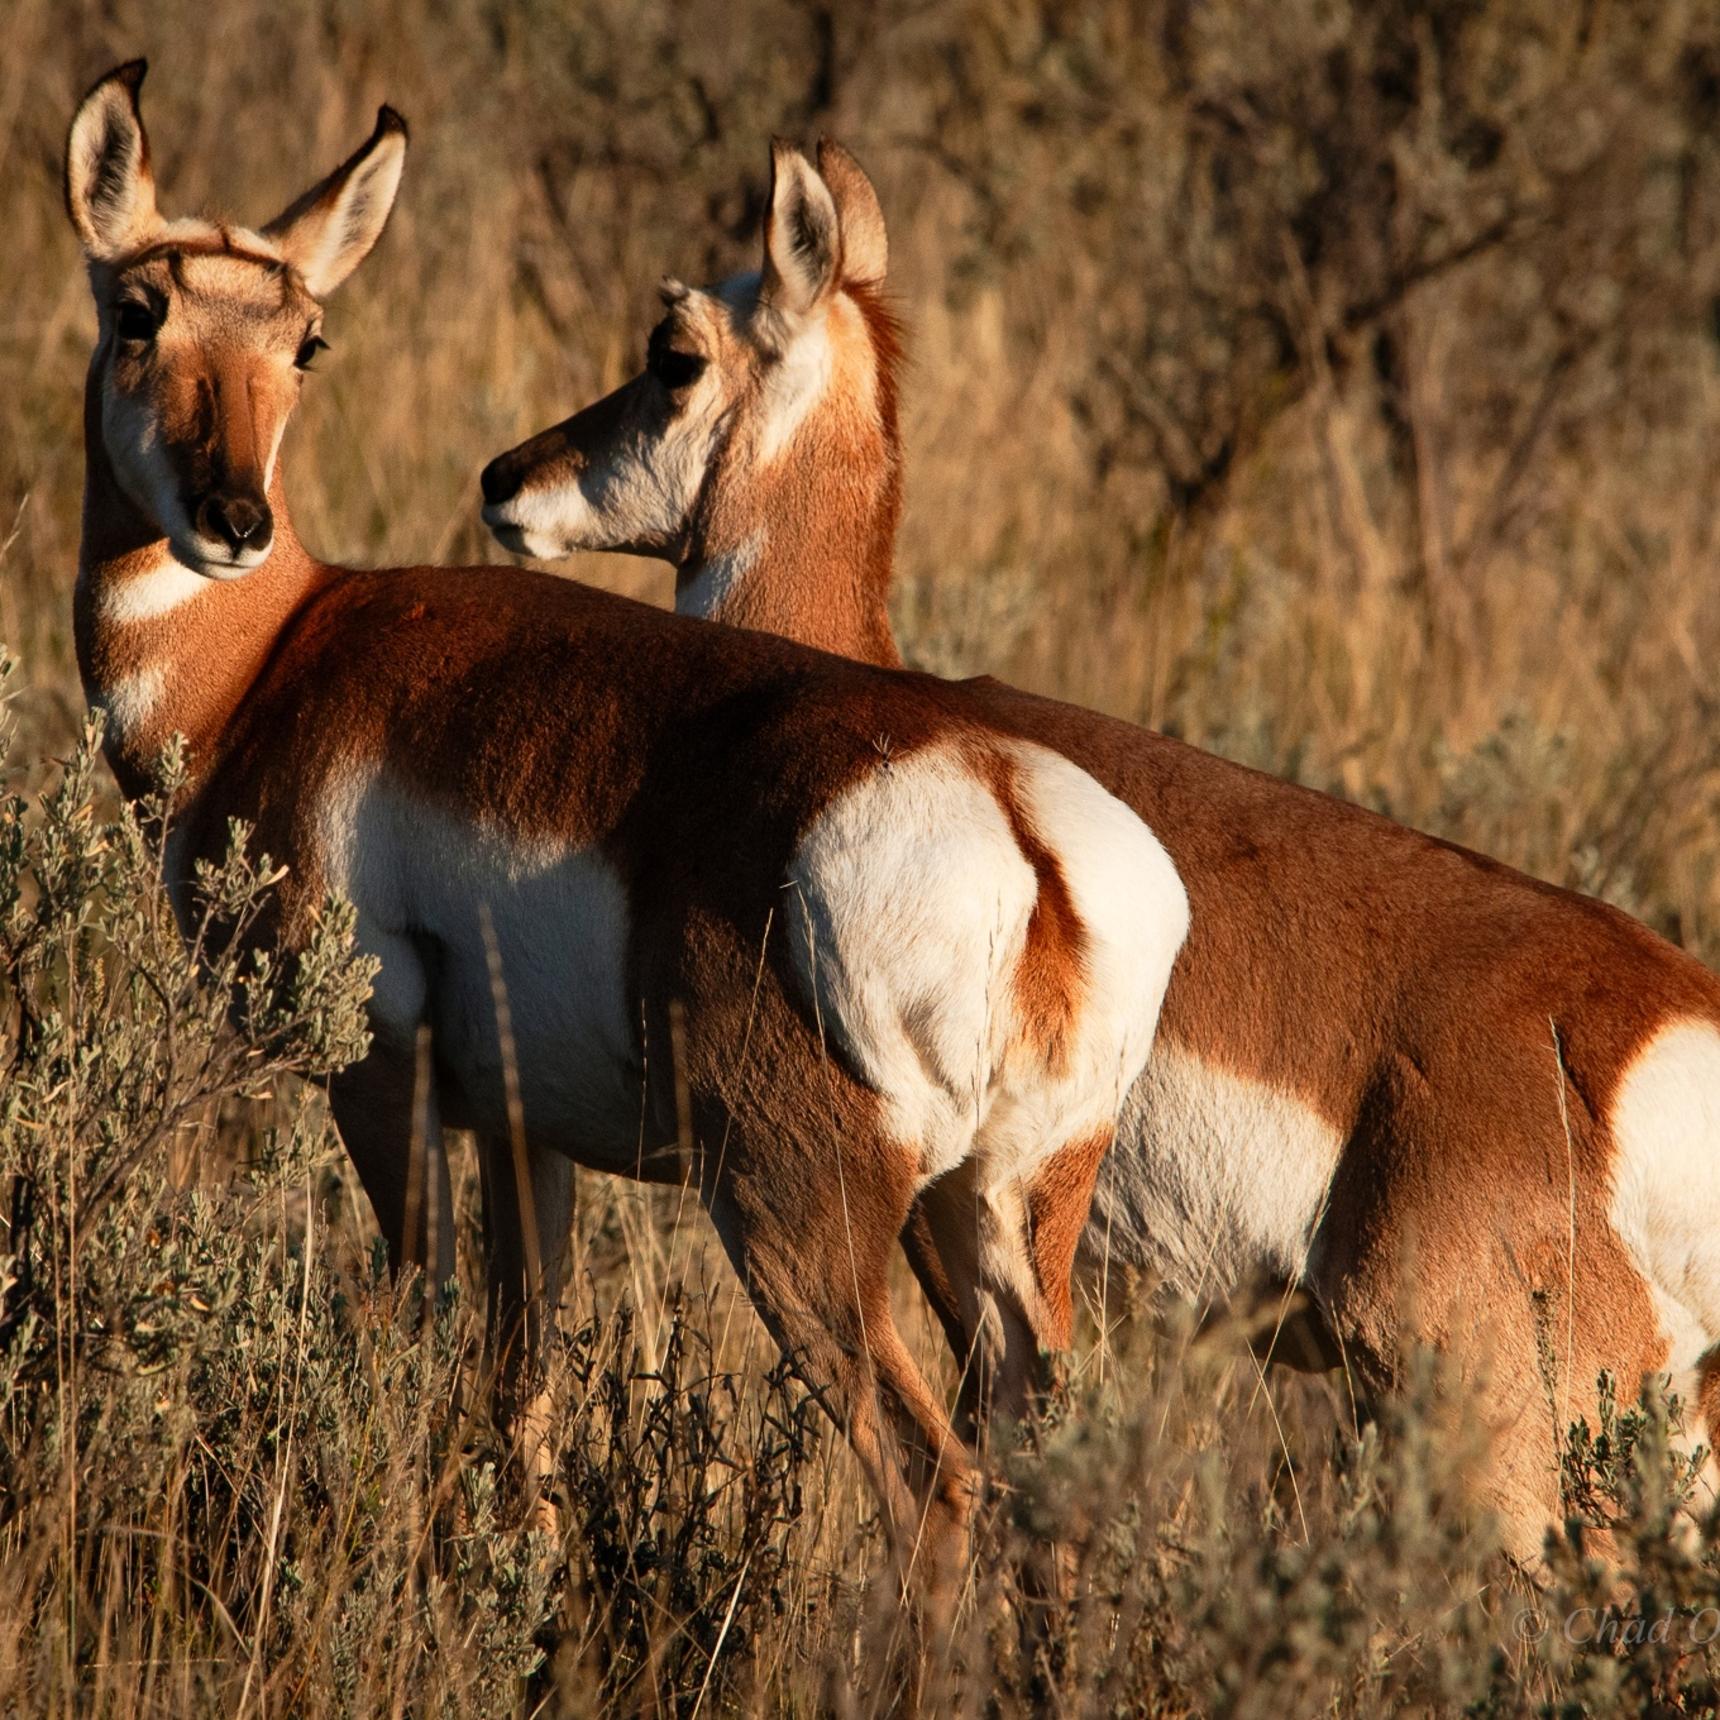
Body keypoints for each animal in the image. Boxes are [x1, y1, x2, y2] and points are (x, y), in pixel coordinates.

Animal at [63, 62, 1192, 1600]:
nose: (232, 519)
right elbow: (518, 1379)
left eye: (306, 340)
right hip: (1000, 1227)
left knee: (930, 1485)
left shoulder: (384, 1081)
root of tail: (1020, 829)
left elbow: (419, 1341)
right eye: (139, 313)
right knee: (1041, 1495)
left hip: (796, 1220)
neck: (284, 649)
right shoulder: (521, 1131)